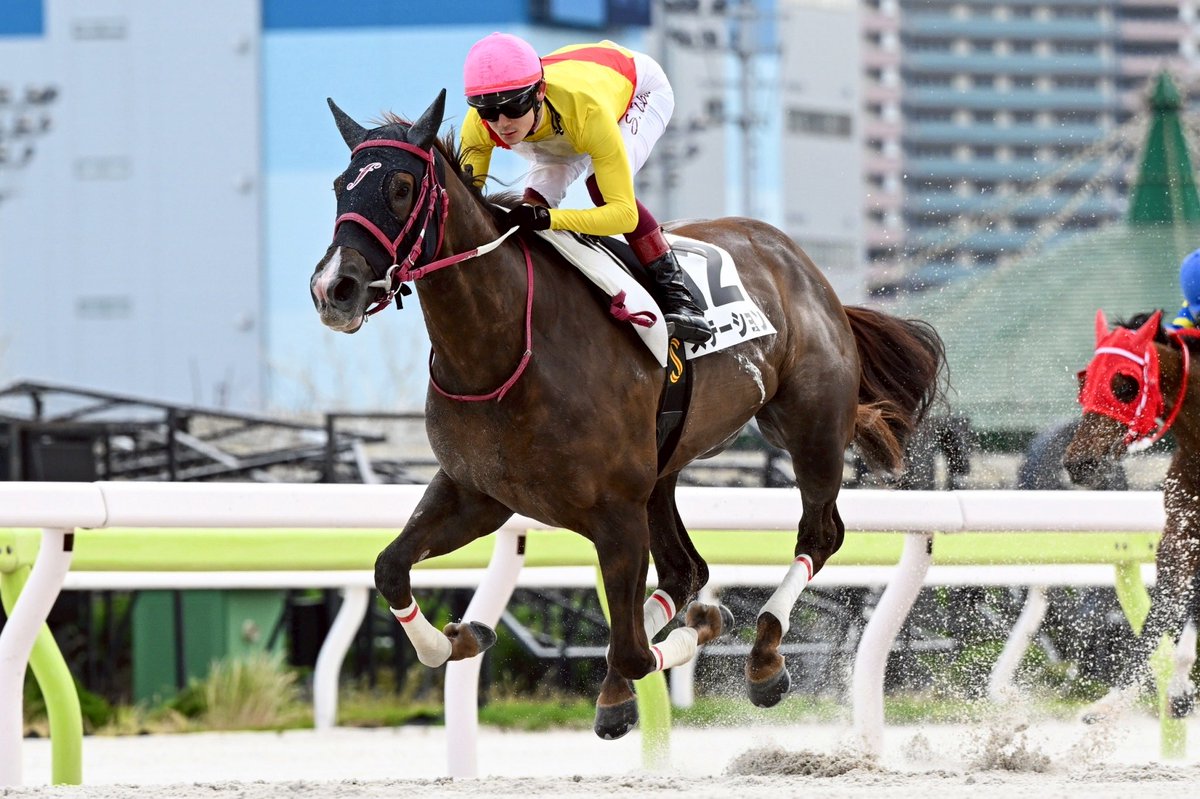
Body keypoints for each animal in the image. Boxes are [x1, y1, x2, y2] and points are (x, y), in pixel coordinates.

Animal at [308, 90, 947, 739]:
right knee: (683, 570)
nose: (334, 288)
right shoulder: (478, 492)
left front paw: (694, 636)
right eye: (338, 186)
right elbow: (389, 566)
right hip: (663, 469)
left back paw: (764, 657)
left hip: (809, 428)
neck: (503, 344)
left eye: (401, 187)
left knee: (818, 534)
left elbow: (638, 650)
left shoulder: (614, 511)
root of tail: (804, 266)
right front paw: (459, 639)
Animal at [1065, 310, 1200, 714]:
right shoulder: (1180, 536)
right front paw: (1111, 702)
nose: (1078, 463)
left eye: (1124, 385)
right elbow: (1158, 616)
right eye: (1084, 381)